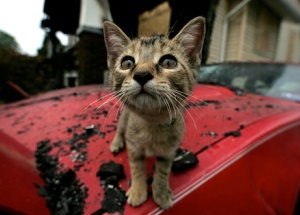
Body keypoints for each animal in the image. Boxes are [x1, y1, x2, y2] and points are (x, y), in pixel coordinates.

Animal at [103, 17, 206, 210]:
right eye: (127, 63)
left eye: (169, 62)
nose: (142, 74)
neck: (151, 122)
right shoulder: (133, 146)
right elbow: (137, 168)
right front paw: (138, 190)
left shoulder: (169, 151)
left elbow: (163, 171)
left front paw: (160, 191)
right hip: (124, 118)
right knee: (120, 129)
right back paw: (116, 142)